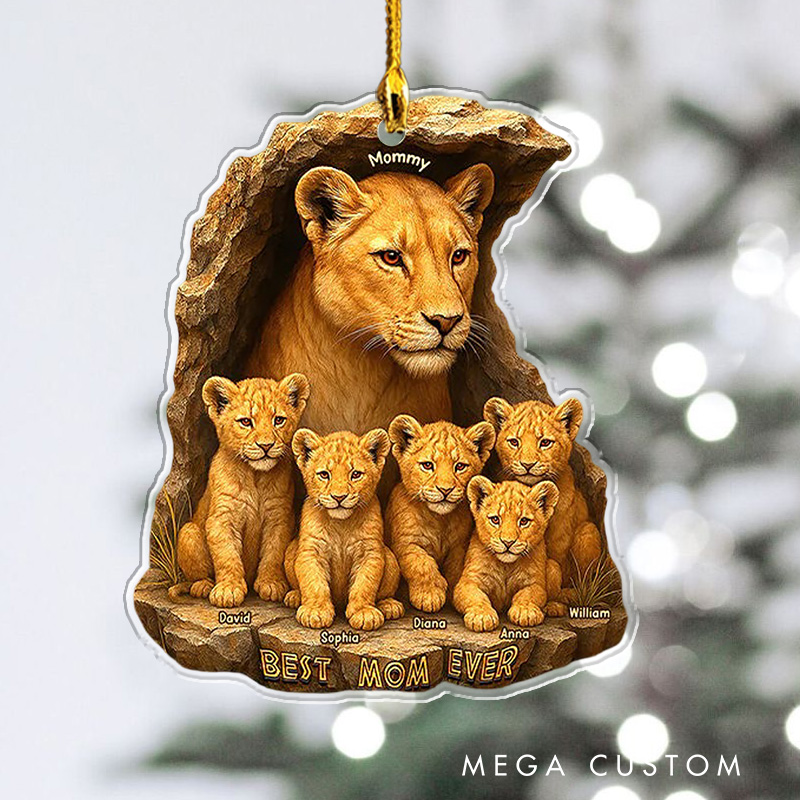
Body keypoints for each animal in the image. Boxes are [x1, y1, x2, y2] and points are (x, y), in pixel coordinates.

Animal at [168, 373, 310, 608]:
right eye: (245, 422)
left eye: (278, 420)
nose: (266, 446)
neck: (255, 476)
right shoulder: (222, 518)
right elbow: (227, 556)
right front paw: (228, 590)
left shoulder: (279, 518)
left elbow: (273, 553)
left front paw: (271, 583)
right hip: (188, 532)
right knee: (197, 571)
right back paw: (202, 586)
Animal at [284, 427, 404, 630]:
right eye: (324, 474)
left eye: (355, 474)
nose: (339, 497)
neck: (341, 524)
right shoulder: (311, 551)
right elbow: (314, 583)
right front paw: (315, 611)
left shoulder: (370, 553)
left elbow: (364, 585)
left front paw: (364, 613)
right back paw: (294, 597)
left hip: (390, 557)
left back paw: (389, 605)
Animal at [385, 415, 495, 612]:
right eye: (428, 465)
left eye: (460, 466)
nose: (445, 490)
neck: (439, 520)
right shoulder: (407, 543)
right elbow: (421, 564)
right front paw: (429, 596)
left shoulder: (459, 546)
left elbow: (455, 568)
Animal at [453, 477, 567, 632]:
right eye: (495, 519)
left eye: (523, 521)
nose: (508, 542)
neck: (505, 566)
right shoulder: (468, 581)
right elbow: (476, 596)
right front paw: (482, 616)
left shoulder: (534, 583)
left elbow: (527, 595)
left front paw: (525, 611)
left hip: (553, 566)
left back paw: (554, 607)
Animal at [483, 397, 603, 588]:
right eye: (514, 442)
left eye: (545, 442)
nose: (527, 464)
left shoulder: (559, 547)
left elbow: (553, 568)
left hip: (588, 530)